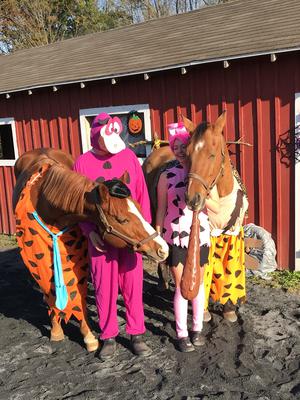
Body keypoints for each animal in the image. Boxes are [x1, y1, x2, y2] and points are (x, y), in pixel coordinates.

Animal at [14, 147, 169, 350]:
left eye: (139, 208)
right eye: (122, 220)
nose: (163, 249)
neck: (45, 201)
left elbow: (78, 295)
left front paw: (88, 335)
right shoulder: (41, 259)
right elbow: (50, 292)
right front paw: (56, 329)